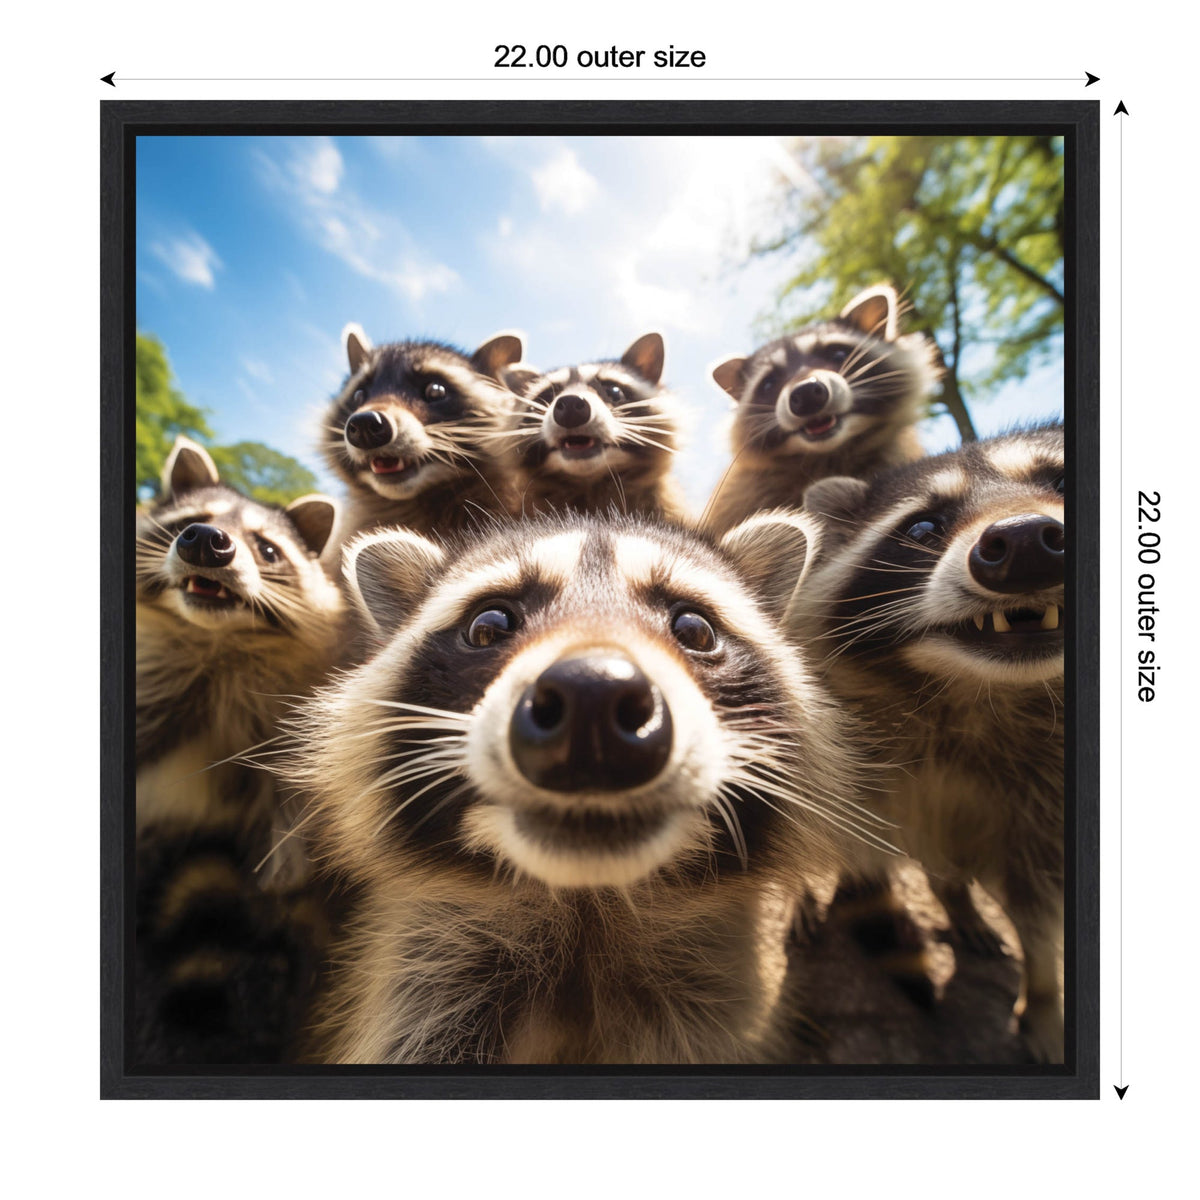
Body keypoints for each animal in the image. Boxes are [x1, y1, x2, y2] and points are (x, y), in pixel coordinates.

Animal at [789, 425, 1066, 1062]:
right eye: (921, 529)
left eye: (1063, 480)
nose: (1026, 544)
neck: (980, 692)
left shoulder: (1044, 808)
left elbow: (1039, 908)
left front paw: (1043, 996)